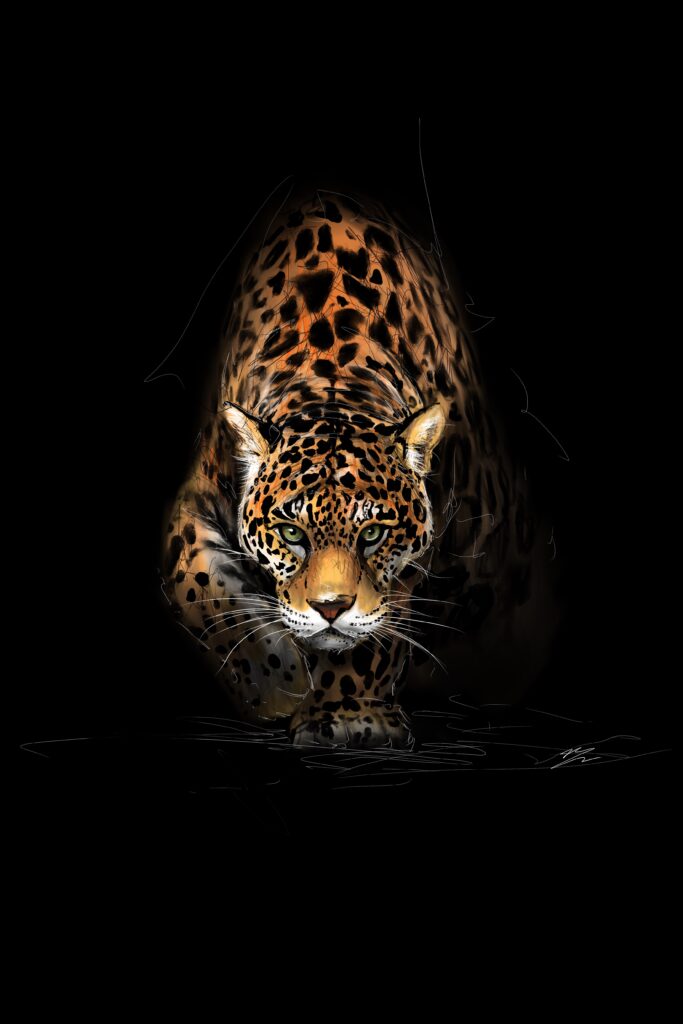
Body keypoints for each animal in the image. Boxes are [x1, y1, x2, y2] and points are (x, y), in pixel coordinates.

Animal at [162, 188, 559, 749]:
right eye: (290, 532)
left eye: (372, 534)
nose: (329, 609)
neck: (327, 374)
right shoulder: (192, 504)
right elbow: (200, 589)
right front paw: (276, 683)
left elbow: (370, 637)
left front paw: (347, 714)